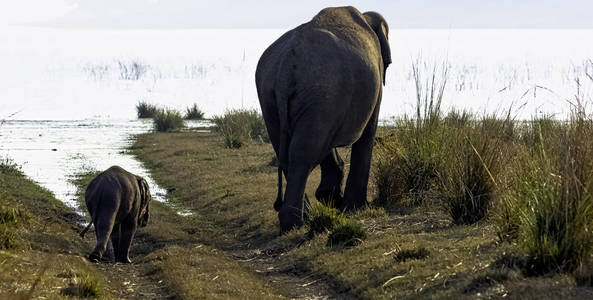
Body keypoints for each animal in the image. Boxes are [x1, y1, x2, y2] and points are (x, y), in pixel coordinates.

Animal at [256, 6, 390, 232]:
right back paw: (295, 221)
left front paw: (333, 200)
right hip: (321, 90)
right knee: (304, 153)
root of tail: (285, 68)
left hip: (273, 97)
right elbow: (368, 130)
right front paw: (354, 207)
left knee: (292, 152)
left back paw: (302, 217)